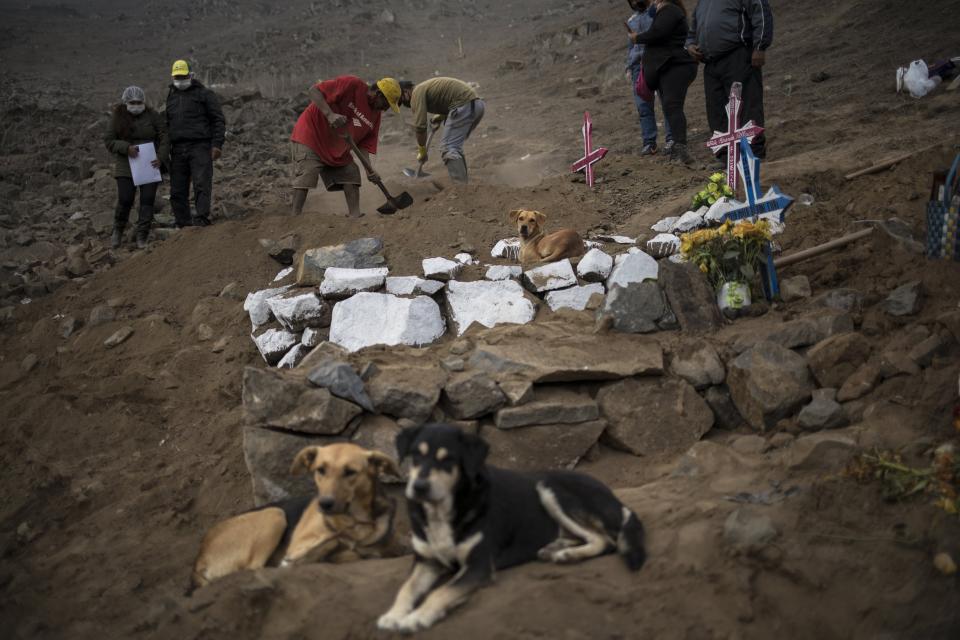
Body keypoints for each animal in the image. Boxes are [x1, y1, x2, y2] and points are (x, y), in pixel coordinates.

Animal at [189, 444, 404, 592]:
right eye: (320, 470)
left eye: (350, 472)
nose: (324, 503)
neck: (351, 522)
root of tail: (198, 559)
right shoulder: (298, 545)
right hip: (274, 514)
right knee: (255, 568)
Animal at [376, 424, 644, 632]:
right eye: (415, 456)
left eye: (448, 460)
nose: (419, 487)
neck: (442, 511)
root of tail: (614, 497)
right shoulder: (426, 561)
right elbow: (406, 588)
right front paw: (393, 615)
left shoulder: (479, 566)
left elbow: (441, 591)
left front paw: (417, 618)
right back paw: (555, 547)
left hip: (549, 487)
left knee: (605, 540)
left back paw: (567, 555)